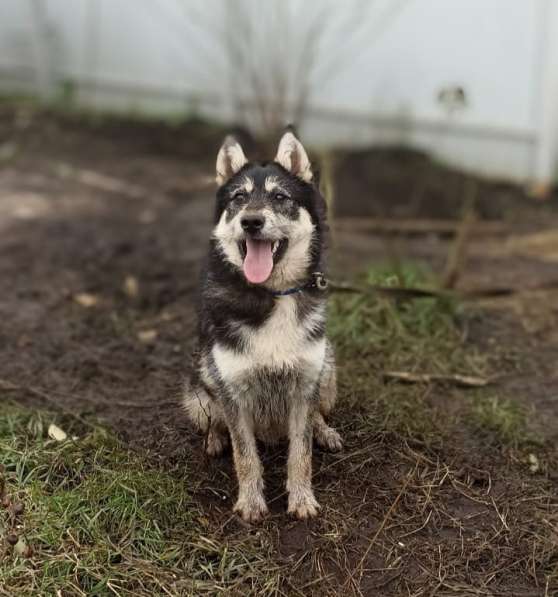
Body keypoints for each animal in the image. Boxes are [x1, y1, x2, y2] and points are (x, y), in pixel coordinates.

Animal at [185, 128, 342, 520]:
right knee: (213, 416)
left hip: (329, 371)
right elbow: (245, 455)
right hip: (198, 386)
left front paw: (301, 499)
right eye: (239, 198)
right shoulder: (233, 390)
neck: (274, 294)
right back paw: (215, 438)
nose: (251, 221)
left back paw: (325, 431)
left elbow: (301, 452)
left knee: (319, 413)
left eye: (280, 197)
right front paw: (251, 503)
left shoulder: (304, 384)